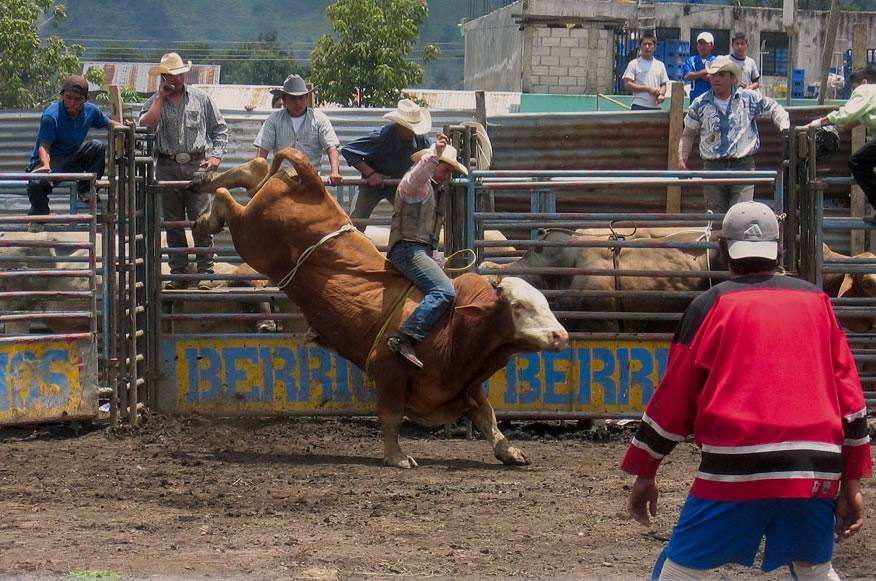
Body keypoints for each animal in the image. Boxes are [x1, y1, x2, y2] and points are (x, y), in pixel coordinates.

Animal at [191, 148, 568, 466]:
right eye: (519, 306)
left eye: (545, 303)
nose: (561, 336)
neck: (454, 326)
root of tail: (315, 188)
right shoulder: (388, 370)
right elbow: (391, 416)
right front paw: (397, 456)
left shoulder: (463, 385)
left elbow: (488, 416)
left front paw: (510, 451)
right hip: (253, 237)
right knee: (231, 203)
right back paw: (206, 215)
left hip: (264, 209)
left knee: (256, 170)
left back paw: (205, 183)